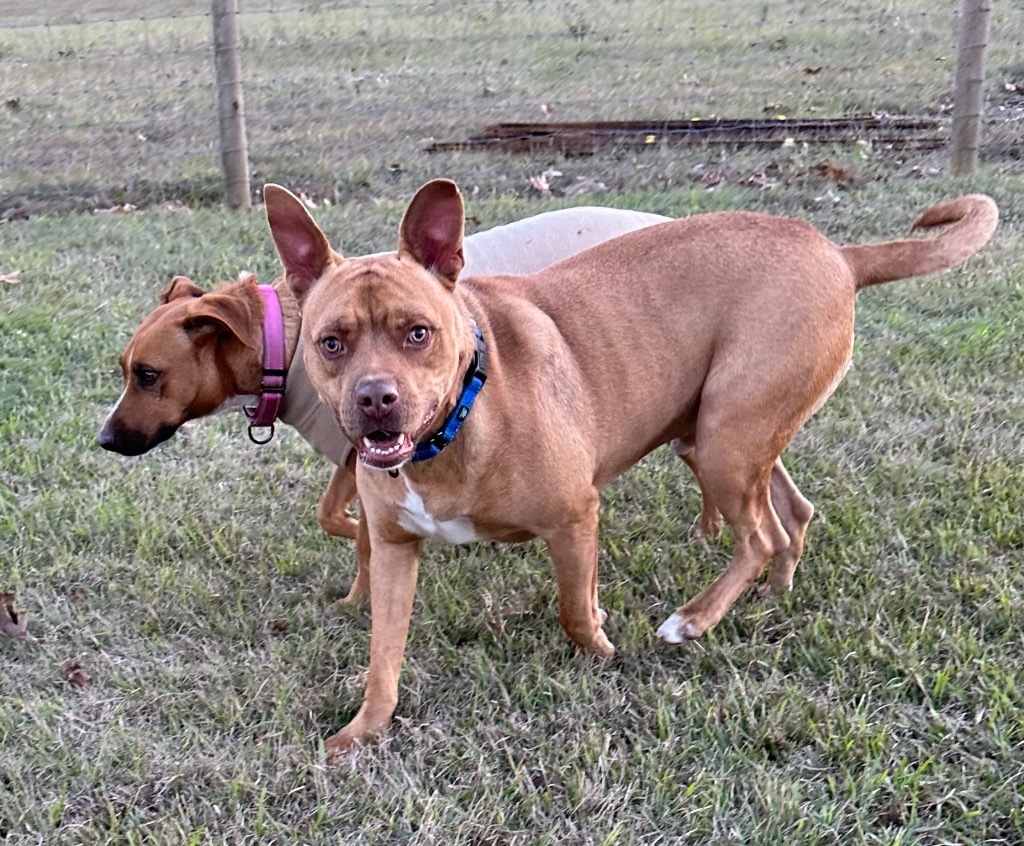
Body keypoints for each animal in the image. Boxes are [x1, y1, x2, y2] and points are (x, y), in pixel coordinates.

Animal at [262, 178, 991, 749]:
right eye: (331, 343)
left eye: (418, 333)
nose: (375, 400)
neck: (458, 425)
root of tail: (837, 252)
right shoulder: (393, 551)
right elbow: (383, 658)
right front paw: (362, 730)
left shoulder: (575, 518)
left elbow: (573, 610)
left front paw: (602, 653)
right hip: (731, 433)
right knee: (792, 516)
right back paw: (774, 593)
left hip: (726, 441)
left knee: (758, 535)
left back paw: (693, 619)